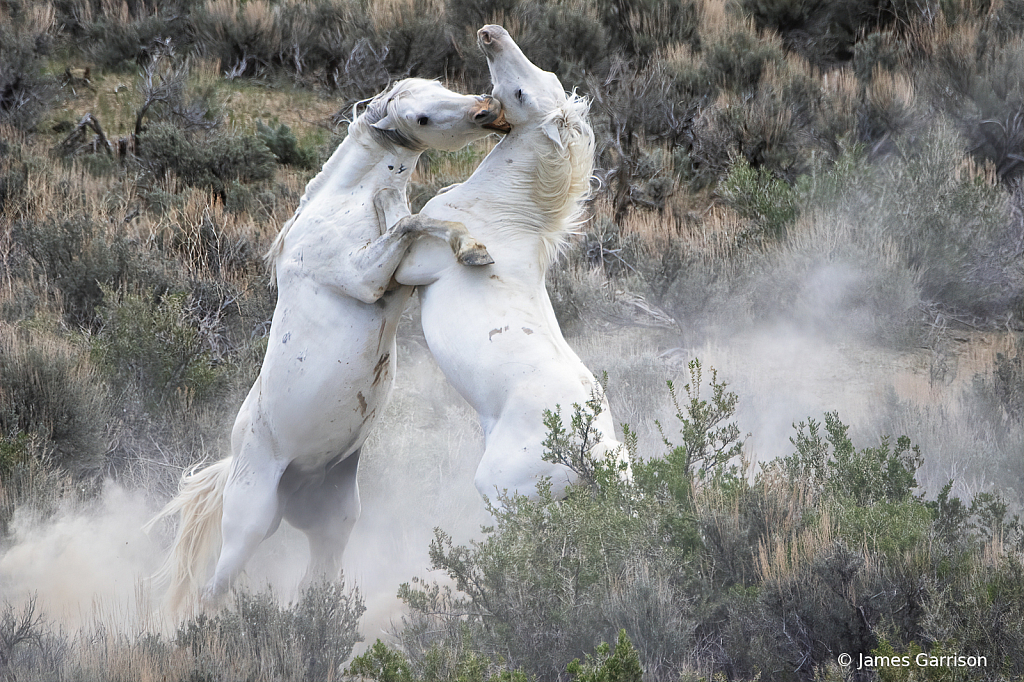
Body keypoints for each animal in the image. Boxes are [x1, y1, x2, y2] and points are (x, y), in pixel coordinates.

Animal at [145, 78, 507, 606]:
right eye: (420, 117)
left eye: (439, 85)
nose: (487, 109)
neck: (343, 207)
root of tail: (238, 460)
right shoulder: (367, 277)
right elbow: (411, 221)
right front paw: (471, 248)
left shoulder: (401, 276)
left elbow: (424, 220)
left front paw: (473, 248)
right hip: (248, 526)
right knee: (214, 588)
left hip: (334, 523)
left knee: (317, 584)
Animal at [378, 26, 626, 497]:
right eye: (548, 74)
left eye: (519, 93)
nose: (490, 34)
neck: (501, 212)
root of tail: (594, 455)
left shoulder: (412, 267)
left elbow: (412, 222)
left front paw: (471, 251)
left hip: (500, 489)